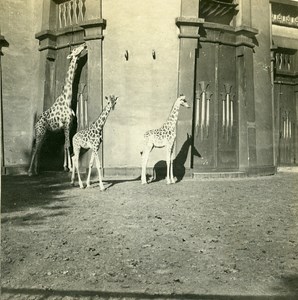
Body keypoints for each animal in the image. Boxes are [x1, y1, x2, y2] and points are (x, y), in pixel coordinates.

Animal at [28, 43, 86, 177]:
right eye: (75, 49)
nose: (84, 45)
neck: (67, 99)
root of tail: (35, 124)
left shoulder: (68, 126)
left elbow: (66, 145)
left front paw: (65, 166)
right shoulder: (66, 124)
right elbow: (67, 144)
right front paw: (70, 167)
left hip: (45, 134)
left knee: (39, 149)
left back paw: (36, 170)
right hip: (40, 132)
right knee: (35, 149)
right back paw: (29, 172)